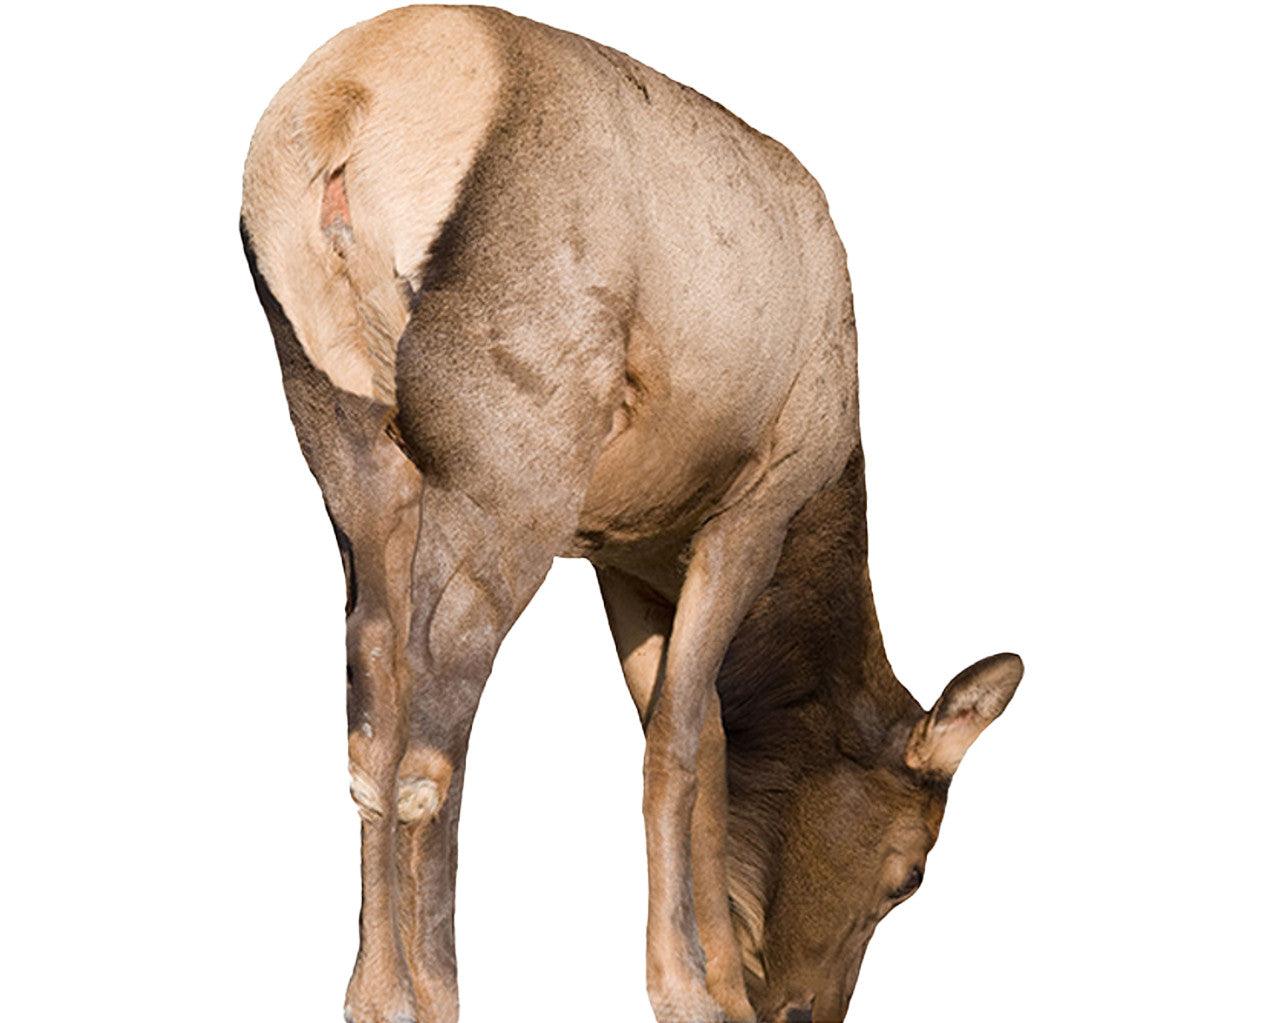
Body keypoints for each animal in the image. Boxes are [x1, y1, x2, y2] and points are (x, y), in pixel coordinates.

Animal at [241, 7, 1023, 1023]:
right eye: (912, 873)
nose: (800, 1006)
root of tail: (345, 108)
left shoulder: (626, 552)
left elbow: (702, 737)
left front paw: (713, 972)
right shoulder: (754, 506)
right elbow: (681, 744)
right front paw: (689, 990)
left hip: (345, 440)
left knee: (370, 690)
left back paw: (374, 994)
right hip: (512, 464)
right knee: (431, 729)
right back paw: (439, 989)